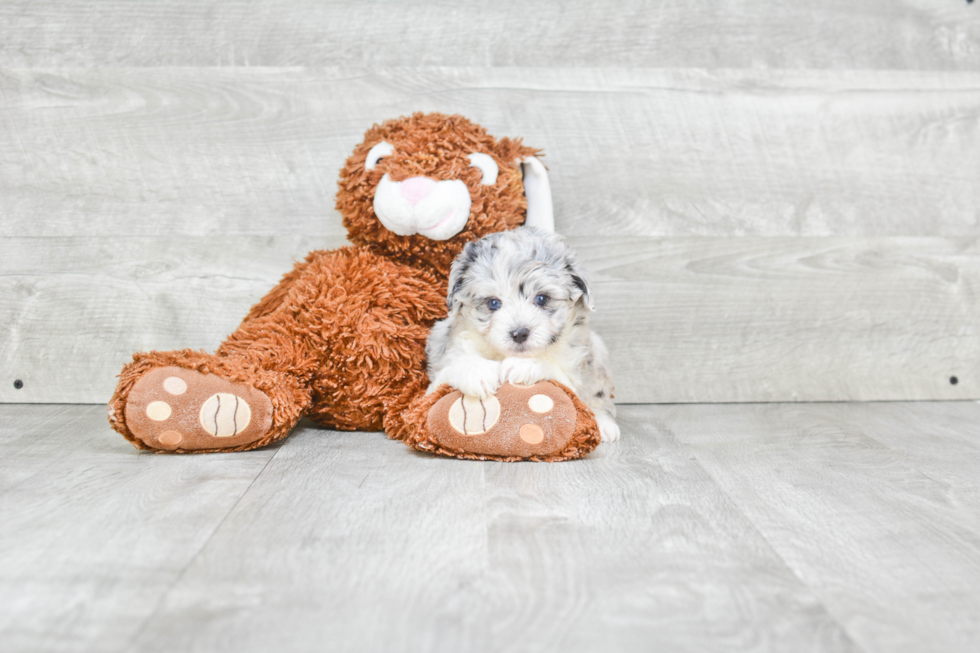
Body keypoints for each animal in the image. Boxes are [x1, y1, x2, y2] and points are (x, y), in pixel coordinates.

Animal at [424, 225, 620, 444]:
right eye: (493, 303)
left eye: (542, 299)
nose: (519, 333)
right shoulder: (434, 383)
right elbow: (453, 367)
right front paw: (478, 372)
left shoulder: (575, 375)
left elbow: (556, 371)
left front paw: (524, 365)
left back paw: (604, 425)